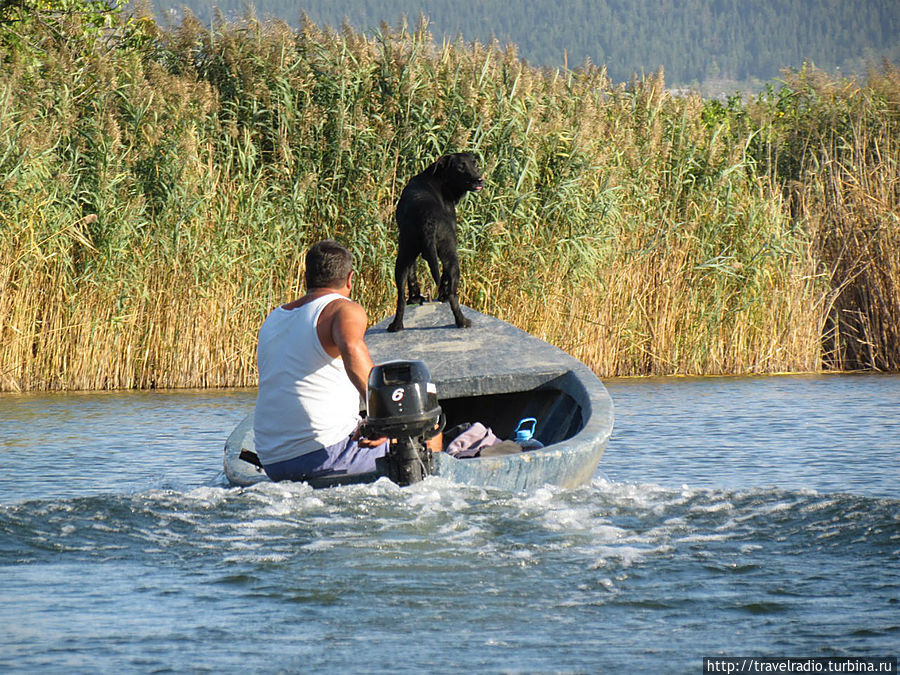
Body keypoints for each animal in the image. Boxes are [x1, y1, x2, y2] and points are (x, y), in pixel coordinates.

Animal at [386, 153, 486, 332]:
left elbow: (412, 277)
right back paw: (462, 321)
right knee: (453, 293)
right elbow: (444, 280)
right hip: (451, 256)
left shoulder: (411, 256)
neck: (440, 178)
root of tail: (427, 218)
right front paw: (442, 296)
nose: (479, 179)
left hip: (403, 256)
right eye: (460, 167)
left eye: (475, 164)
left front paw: (415, 298)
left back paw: (396, 325)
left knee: (400, 297)